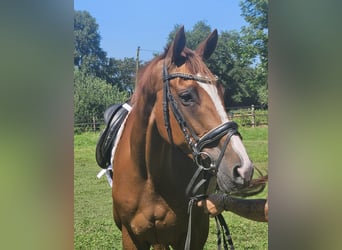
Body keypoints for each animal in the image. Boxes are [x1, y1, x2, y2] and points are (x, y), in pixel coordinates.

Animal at [111, 26, 254, 249]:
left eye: (222, 92)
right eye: (186, 96)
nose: (243, 169)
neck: (149, 178)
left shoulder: (189, 235)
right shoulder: (131, 237)